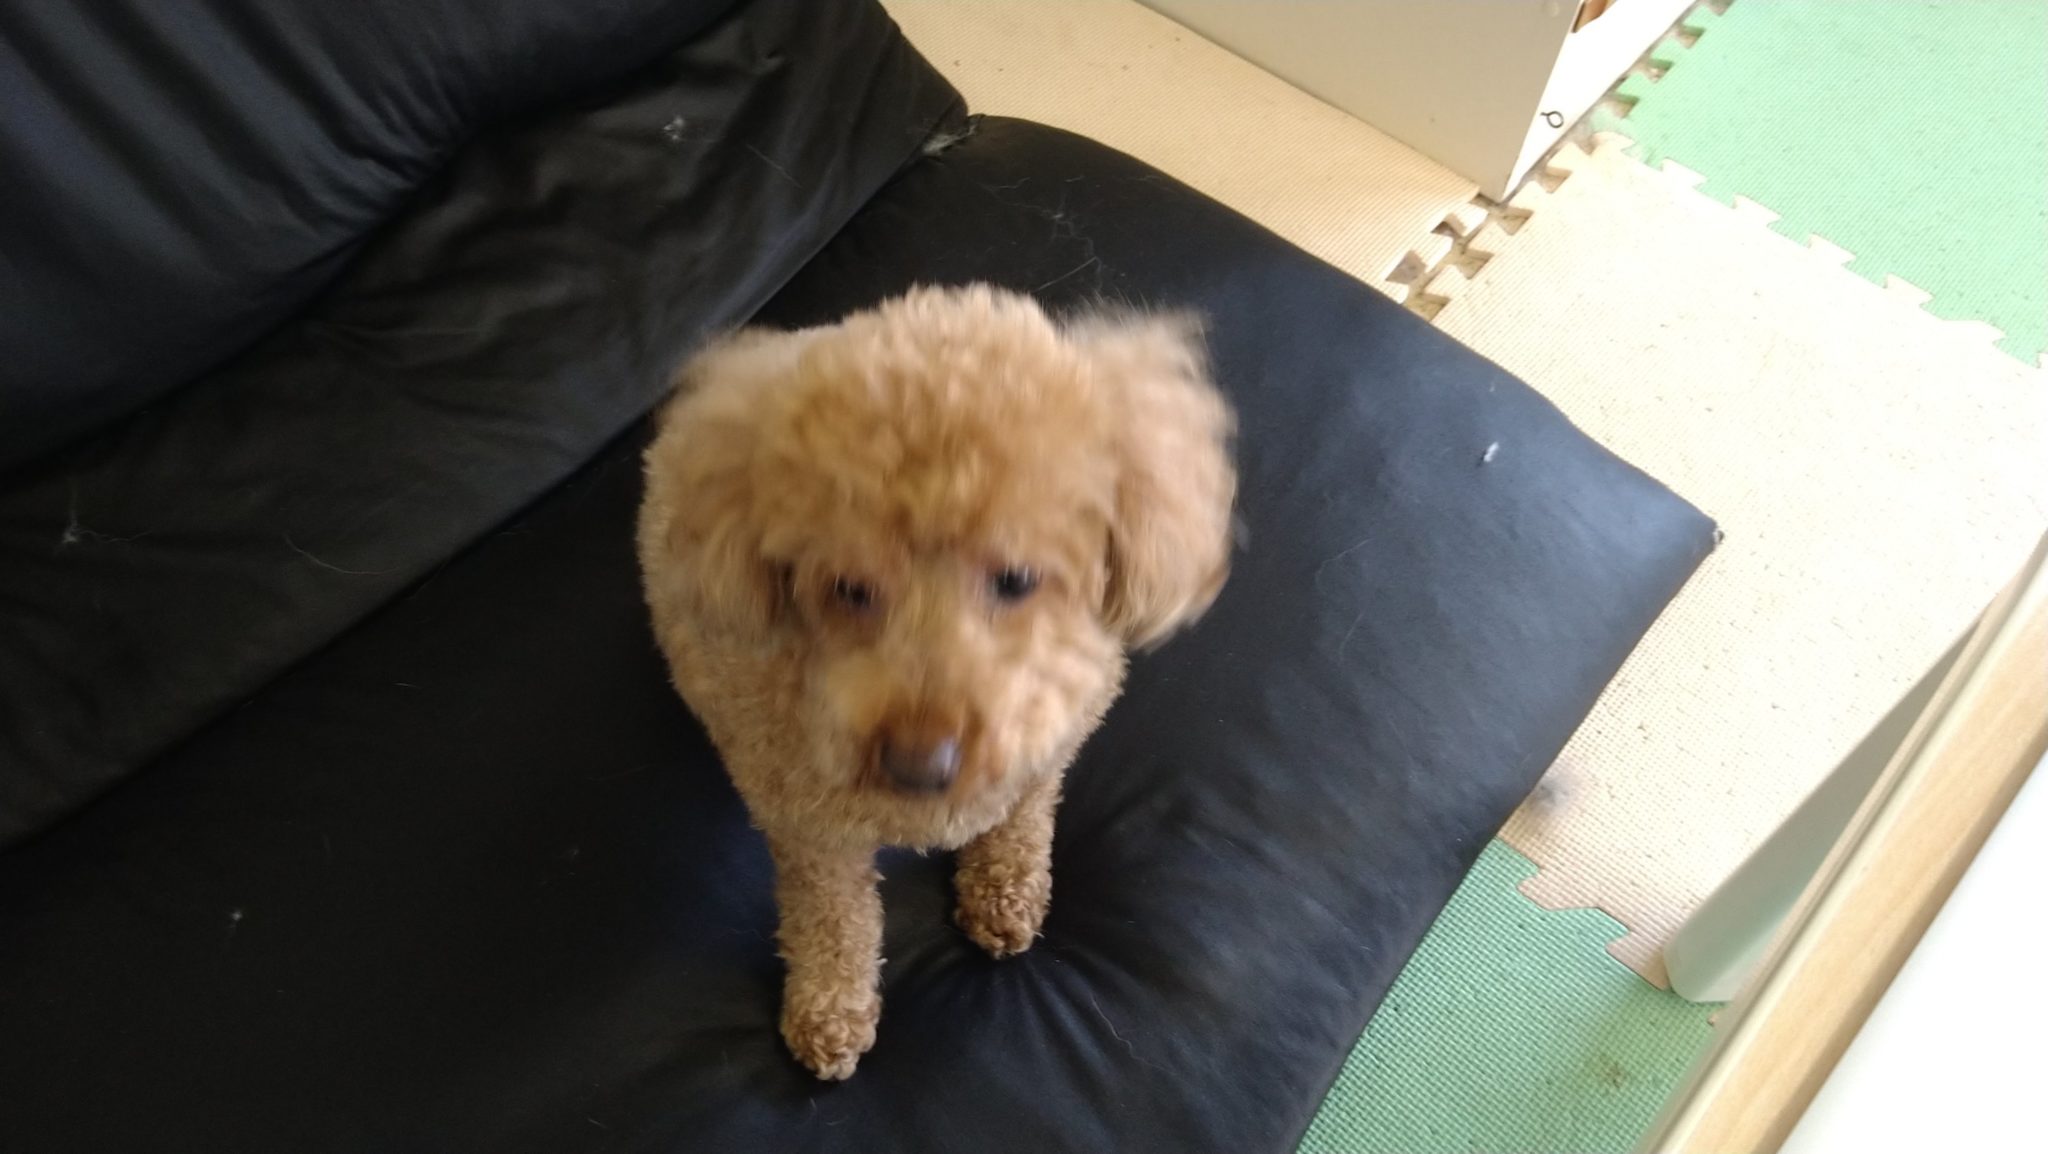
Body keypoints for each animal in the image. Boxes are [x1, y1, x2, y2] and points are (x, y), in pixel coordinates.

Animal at [636, 283, 1236, 1079]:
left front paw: (1005, 893)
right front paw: (830, 1010)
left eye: (1017, 579)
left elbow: (1022, 818)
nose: (920, 764)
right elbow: (832, 917)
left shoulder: (1043, 755)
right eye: (849, 589)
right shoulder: (810, 833)